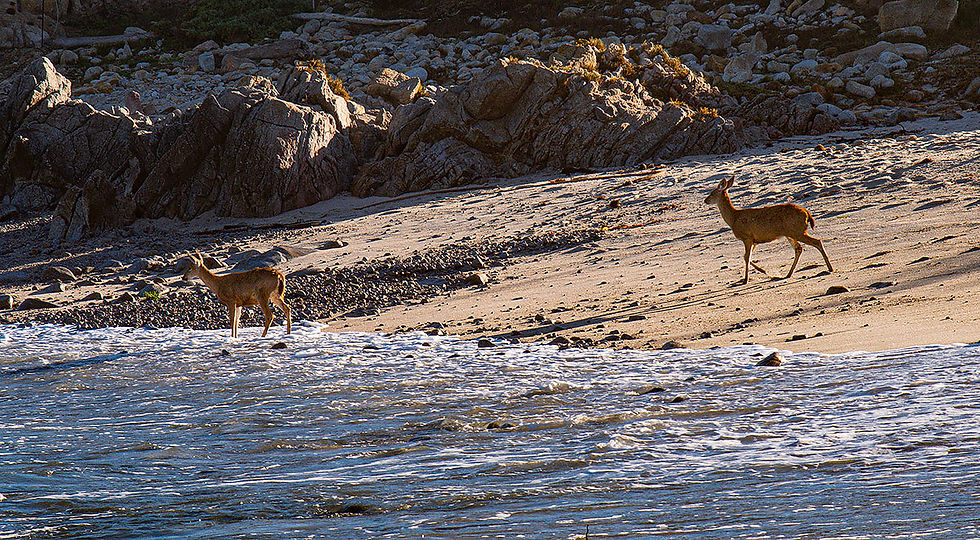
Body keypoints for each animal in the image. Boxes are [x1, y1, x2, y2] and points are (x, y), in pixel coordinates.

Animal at [704, 176, 833, 285]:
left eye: (712, 193)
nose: (705, 200)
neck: (734, 218)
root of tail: (807, 213)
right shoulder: (754, 240)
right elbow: (747, 256)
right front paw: (762, 271)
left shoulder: (747, 237)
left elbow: (746, 257)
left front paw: (746, 280)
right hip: (791, 233)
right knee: (799, 248)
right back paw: (788, 274)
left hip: (798, 231)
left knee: (817, 241)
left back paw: (830, 268)